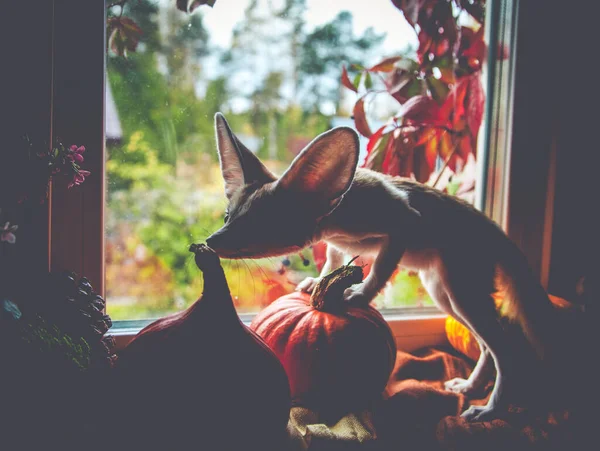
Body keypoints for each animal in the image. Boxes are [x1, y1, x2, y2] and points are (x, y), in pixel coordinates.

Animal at [207, 113, 556, 424]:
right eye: (227, 217)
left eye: (256, 227)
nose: (210, 240)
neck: (341, 209)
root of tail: (493, 226)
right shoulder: (340, 243)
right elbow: (333, 261)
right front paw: (317, 282)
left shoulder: (403, 222)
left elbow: (380, 271)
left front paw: (360, 295)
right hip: (446, 295)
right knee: (487, 348)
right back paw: (472, 387)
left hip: (461, 295)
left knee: (506, 349)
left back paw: (491, 409)